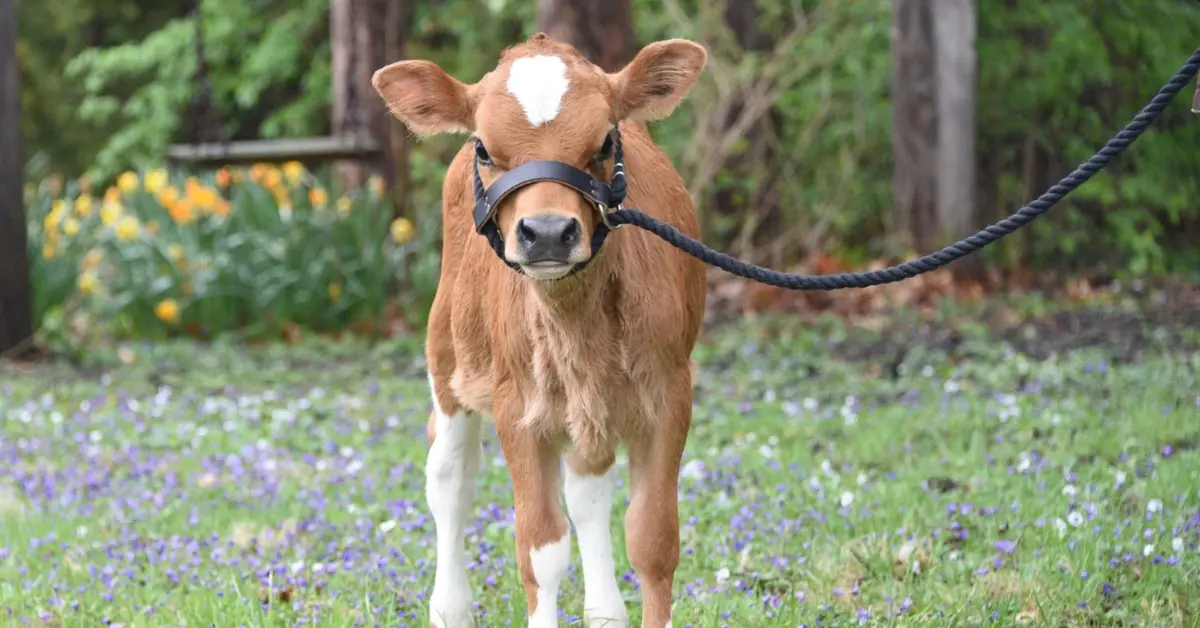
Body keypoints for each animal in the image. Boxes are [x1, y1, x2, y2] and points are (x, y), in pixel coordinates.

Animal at [371, 32, 709, 628]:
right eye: (484, 148)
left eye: (605, 139)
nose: (548, 232)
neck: (576, 321)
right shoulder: (517, 409)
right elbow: (541, 549)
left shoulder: (671, 394)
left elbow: (653, 542)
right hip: (447, 358)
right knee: (450, 477)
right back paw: (450, 607)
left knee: (587, 487)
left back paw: (604, 612)